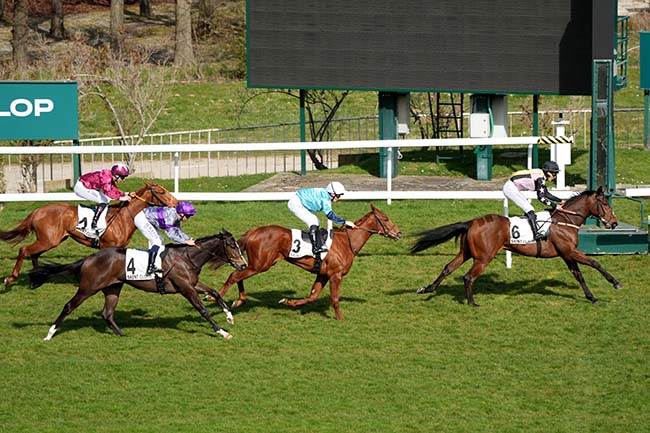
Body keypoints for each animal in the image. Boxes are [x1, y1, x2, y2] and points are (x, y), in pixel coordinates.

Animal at [0, 181, 177, 286]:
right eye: (161, 192)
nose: (176, 203)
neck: (123, 217)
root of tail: (37, 211)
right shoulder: (106, 247)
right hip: (48, 240)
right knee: (24, 250)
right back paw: (10, 278)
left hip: (51, 240)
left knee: (34, 254)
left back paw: (36, 278)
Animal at [213, 203, 400, 320]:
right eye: (385, 219)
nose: (399, 233)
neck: (346, 242)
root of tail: (254, 231)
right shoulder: (336, 275)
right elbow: (335, 299)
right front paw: (340, 319)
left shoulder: (323, 274)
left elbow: (312, 296)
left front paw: (289, 302)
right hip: (260, 265)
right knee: (234, 275)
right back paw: (215, 297)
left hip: (257, 265)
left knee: (238, 273)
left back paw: (238, 300)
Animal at [412, 187, 620, 306]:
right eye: (604, 202)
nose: (614, 223)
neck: (565, 220)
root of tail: (472, 222)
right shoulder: (570, 251)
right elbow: (595, 263)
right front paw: (615, 282)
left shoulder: (566, 254)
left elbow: (578, 275)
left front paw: (592, 297)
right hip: (483, 257)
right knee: (468, 277)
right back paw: (472, 302)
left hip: (467, 252)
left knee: (448, 268)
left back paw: (428, 288)